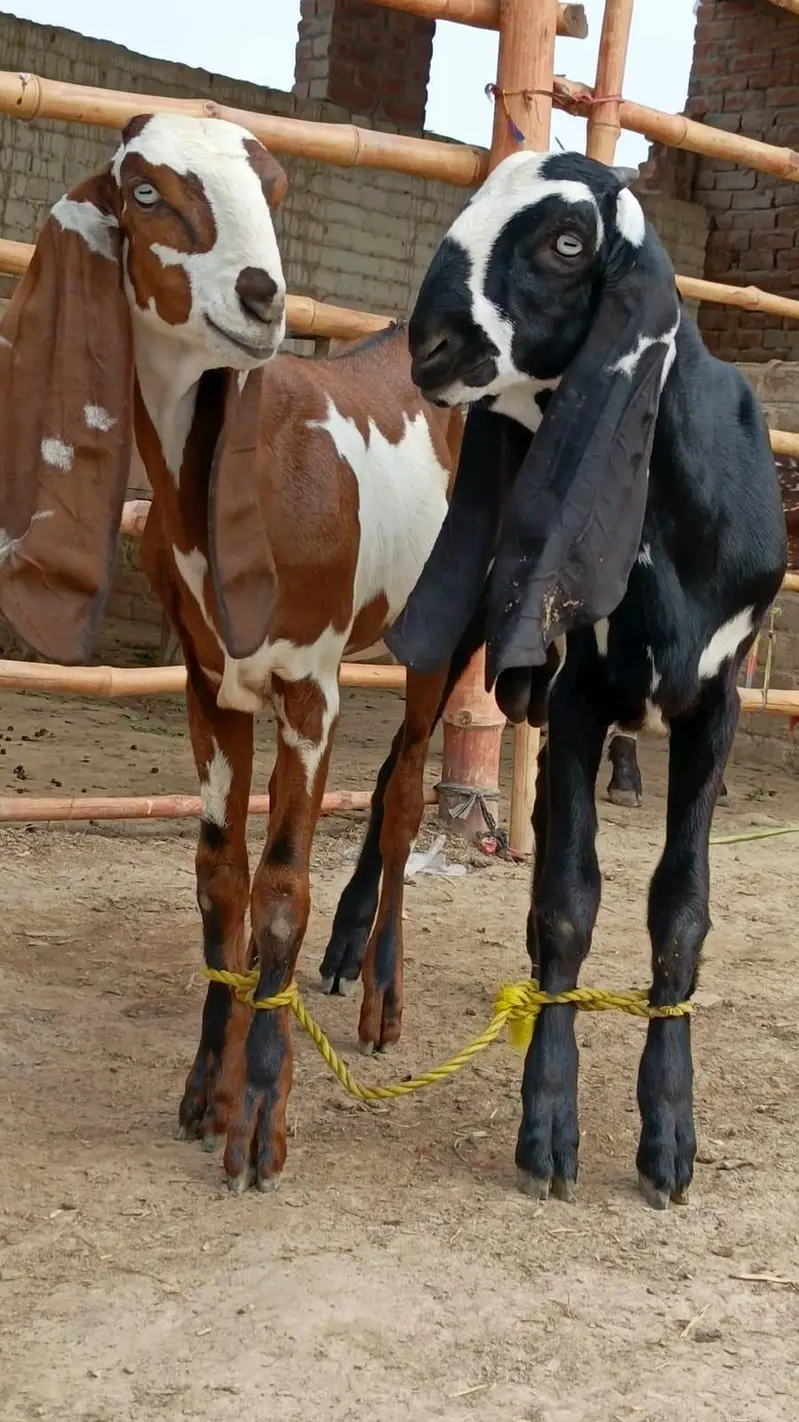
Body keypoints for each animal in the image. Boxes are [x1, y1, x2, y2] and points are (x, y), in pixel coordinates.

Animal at [0, 112, 466, 1194]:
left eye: (275, 191)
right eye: (144, 192)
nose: (262, 296)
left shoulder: (308, 687)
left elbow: (282, 887)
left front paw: (259, 1122)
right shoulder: (208, 683)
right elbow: (221, 879)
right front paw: (205, 1091)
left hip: (442, 627)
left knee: (405, 793)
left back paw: (379, 999)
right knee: (391, 775)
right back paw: (344, 962)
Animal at [369, 149, 786, 1208]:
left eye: (566, 242)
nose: (428, 345)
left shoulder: (713, 704)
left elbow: (678, 909)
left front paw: (669, 1135)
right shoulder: (578, 693)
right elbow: (567, 901)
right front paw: (547, 1126)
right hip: (462, 628)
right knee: (397, 791)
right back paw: (365, 977)